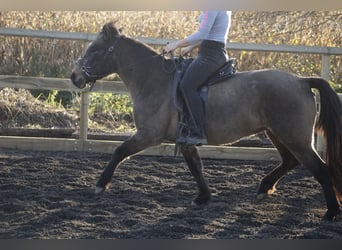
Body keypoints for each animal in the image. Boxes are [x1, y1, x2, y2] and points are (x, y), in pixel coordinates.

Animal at [70, 21, 342, 221]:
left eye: (93, 50)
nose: (74, 77)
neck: (154, 80)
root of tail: (301, 80)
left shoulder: (149, 134)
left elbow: (119, 151)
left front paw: (100, 185)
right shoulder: (186, 139)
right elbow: (195, 166)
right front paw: (203, 197)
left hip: (294, 136)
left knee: (319, 168)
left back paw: (330, 212)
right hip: (277, 133)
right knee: (290, 161)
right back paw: (265, 188)